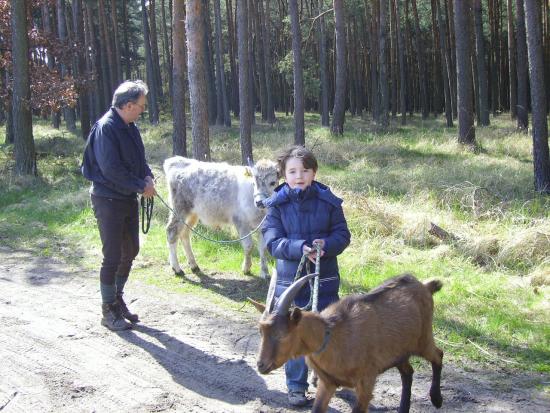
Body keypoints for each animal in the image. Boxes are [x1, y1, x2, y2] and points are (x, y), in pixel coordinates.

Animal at [250, 272, 444, 410]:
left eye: (282, 334)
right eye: (261, 331)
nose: (261, 365)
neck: (331, 336)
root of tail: (425, 286)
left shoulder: (366, 383)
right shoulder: (327, 383)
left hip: (423, 340)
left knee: (438, 355)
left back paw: (436, 399)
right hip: (399, 352)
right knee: (408, 372)